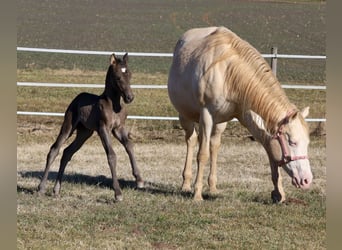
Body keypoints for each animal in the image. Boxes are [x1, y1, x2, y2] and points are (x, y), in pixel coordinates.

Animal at [168, 26, 312, 203]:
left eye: (307, 142)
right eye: (292, 142)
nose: (306, 180)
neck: (227, 71)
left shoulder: (248, 116)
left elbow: (271, 153)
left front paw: (278, 193)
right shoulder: (206, 115)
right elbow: (202, 154)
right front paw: (197, 194)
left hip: (220, 123)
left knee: (214, 145)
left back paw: (213, 187)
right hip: (186, 116)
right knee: (192, 140)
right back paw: (187, 184)